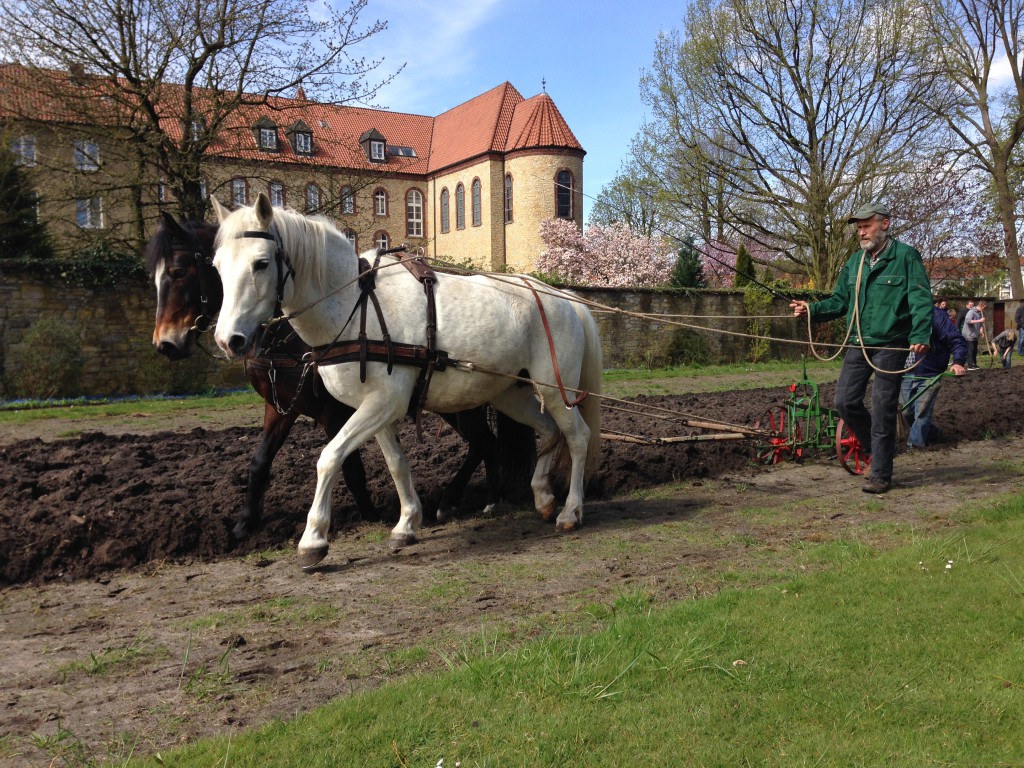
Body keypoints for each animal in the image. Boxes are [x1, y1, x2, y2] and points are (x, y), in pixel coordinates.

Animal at [149, 211, 536, 540]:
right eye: (216, 268)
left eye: (180, 271)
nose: (165, 343)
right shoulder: (280, 407)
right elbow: (260, 462)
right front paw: (245, 522)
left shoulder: (334, 411)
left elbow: (349, 465)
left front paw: (364, 513)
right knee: (485, 443)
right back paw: (477, 498)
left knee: (484, 442)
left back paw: (471, 499)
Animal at [211, 192, 602, 573]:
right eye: (216, 266)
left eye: (261, 263)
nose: (228, 340)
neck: (355, 304)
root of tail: (566, 298)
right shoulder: (375, 408)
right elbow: (396, 463)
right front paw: (406, 523)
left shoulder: (380, 404)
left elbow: (330, 457)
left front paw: (313, 540)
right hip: (511, 393)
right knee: (548, 431)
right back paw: (543, 496)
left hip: (555, 389)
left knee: (577, 437)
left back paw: (570, 511)